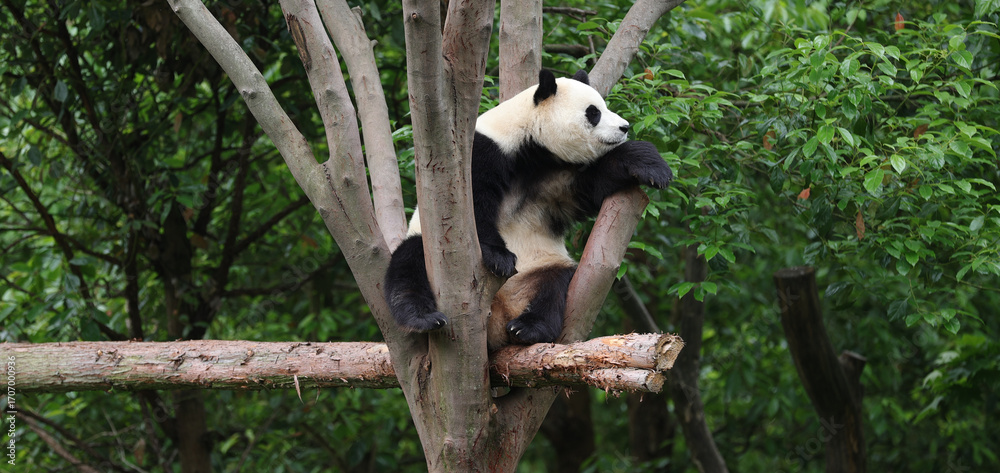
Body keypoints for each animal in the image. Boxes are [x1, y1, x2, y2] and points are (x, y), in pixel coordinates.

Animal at [384, 69, 673, 351]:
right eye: (593, 113)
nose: (624, 127)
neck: (528, 144)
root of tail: (498, 315)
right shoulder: (482, 153)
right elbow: (473, 207)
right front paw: (499, 257)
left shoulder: (552, 178)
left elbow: (591, 185)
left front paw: (650, 165)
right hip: (428, 248)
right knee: (408, 265)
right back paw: (422, 319)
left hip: (543, 266)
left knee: (555, 284)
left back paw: (529, 328)